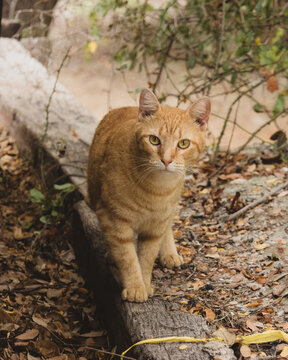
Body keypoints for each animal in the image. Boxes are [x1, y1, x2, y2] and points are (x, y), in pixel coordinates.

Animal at [86, 88, 210, 302]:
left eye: (183, 144)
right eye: (154, 140)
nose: (166, 160)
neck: (156, 190)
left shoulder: (155, 227)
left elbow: (146, 258)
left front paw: (143, 283)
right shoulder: (113, 219)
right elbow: (128, 257)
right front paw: (135, 286)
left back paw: (169, 253)